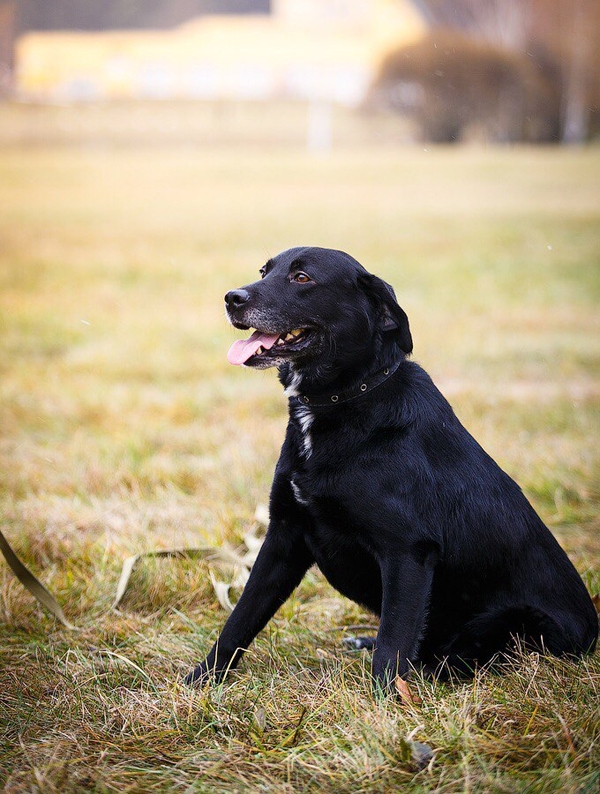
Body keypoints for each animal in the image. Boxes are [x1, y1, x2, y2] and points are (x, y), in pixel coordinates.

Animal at [185, 244, 596, 688]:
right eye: (264, 271)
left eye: (302, 277)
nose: (232, 298)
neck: (346, 398)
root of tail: (593, 633)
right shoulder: (284, 533)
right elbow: (241, 619)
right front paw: (202, 680)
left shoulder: (407, 551)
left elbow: (393, 643)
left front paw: (385, 702)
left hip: (514, 621)